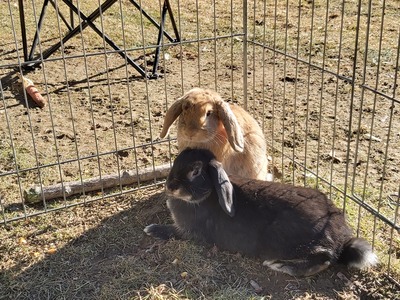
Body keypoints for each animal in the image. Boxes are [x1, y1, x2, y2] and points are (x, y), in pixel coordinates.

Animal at [145, 148, 378, 276]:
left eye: (195, 171)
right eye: (176, 161)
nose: (170, 186)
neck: (208, 194)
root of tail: (341, 240)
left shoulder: (189, 233)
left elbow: (171, 232)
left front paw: (151, 229)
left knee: (325, 258)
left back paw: (280, 266)